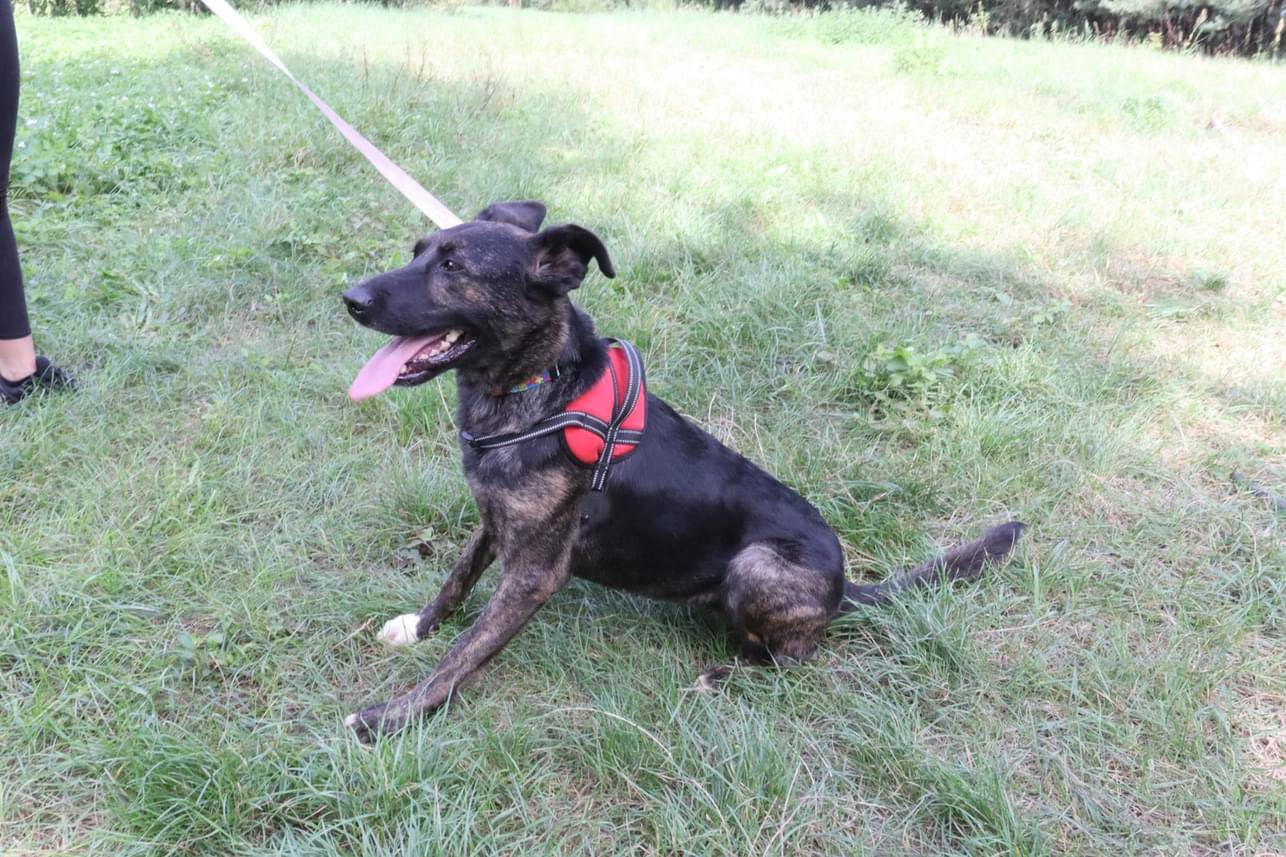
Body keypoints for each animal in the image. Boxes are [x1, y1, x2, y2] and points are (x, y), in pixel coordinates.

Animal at [341, 200, 1024, 741]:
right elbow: (455, 581)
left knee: (795, 658)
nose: (350, 299)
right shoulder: (494, 518)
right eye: (418, 252)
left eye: (453, 269)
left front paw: (391, 719)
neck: (536, 390)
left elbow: (465, 654)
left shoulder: (535, 573)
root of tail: (843, 590)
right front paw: (418, 628)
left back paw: (725, 676)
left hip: (759, 567)